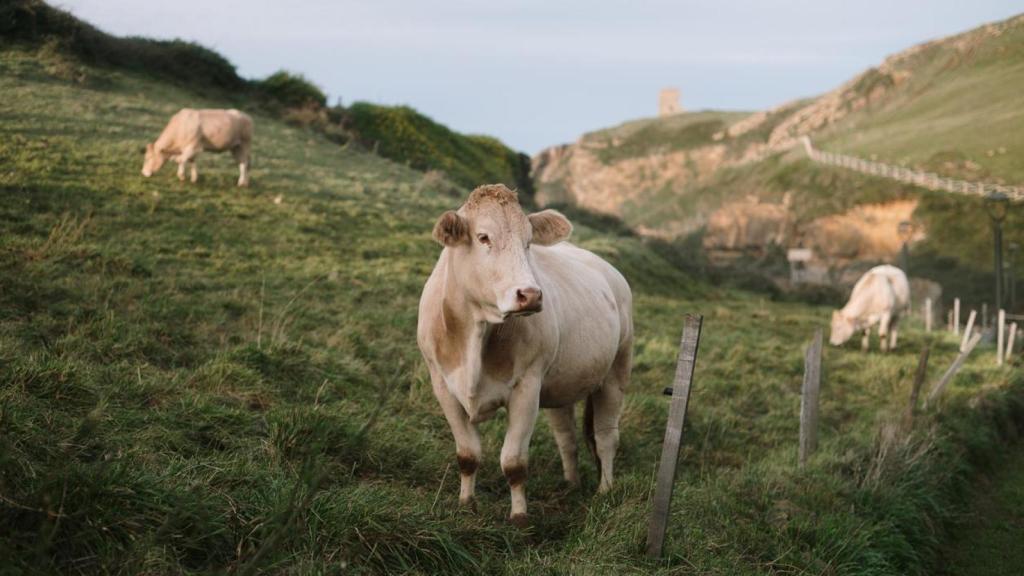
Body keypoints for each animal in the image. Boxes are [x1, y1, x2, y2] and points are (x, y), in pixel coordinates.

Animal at [417, 184, 633, 527]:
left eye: (529, 241)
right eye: (483, 237)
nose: (530, 295)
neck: (476, 335)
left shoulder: (526, 388)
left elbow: (514, 462)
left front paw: (519, 517)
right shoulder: (442, 386)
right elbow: (467, 455)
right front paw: (466, 504)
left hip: (616, 372)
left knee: (606, 437)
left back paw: (605, 491)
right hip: (560, 384)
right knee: (566, 437)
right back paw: (571, 484)